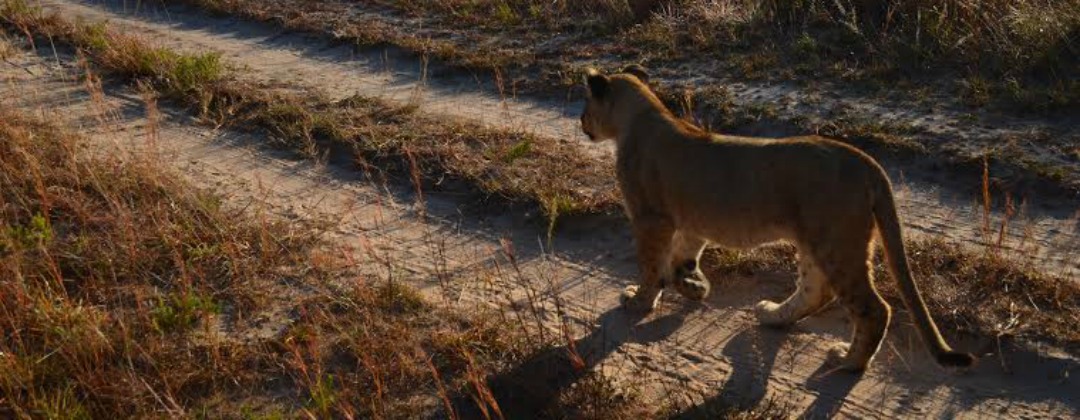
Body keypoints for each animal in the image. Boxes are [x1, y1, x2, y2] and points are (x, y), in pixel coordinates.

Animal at [578, 63, 976, 371]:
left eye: (585, 106)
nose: (582, 123)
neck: (642, 114)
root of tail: (865, 162)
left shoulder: (651, 218)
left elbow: (650, 265)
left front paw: (638, 301)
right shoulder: (691, 220)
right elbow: (681, 259)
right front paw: (694, 286)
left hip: (836, 241)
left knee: (873, 309)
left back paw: (847, 361)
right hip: (817, 241)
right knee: (817, 292)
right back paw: (772, 316)